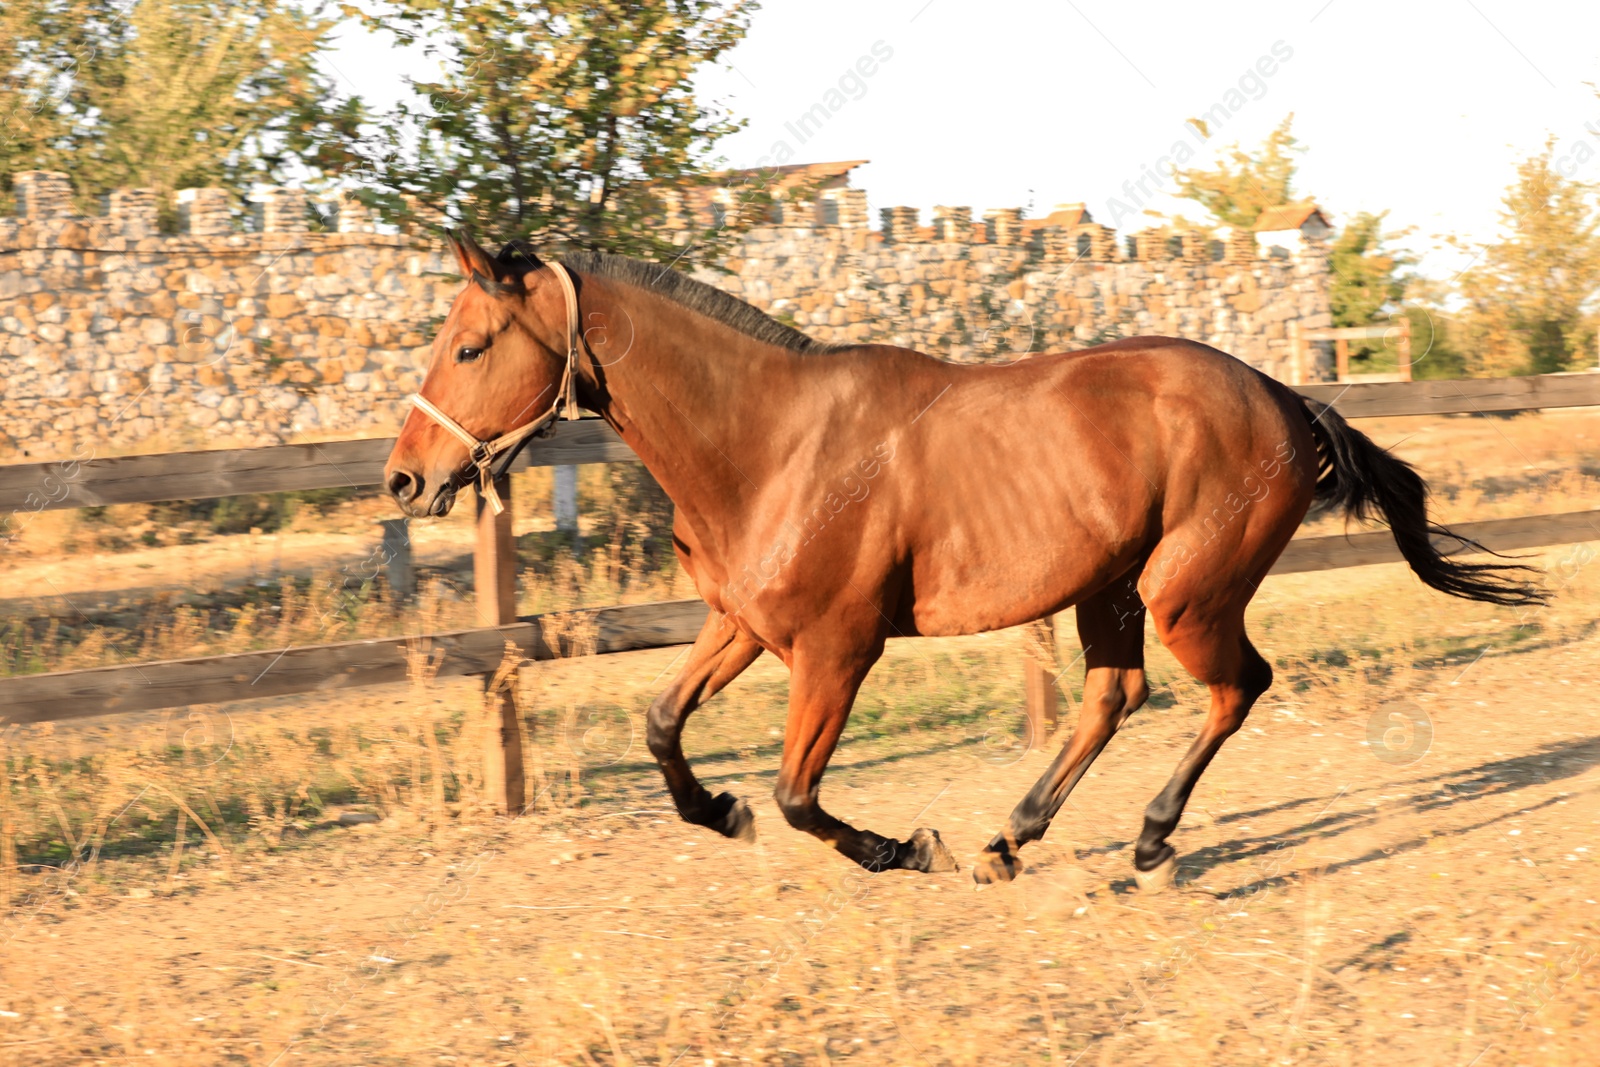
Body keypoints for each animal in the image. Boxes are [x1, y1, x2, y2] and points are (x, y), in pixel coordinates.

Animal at [384, 235, 1536, 895]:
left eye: (472, 346)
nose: (404, 479)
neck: (771, 443)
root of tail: (1287, 398)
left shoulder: (838, 649)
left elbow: (798, 793)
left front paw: (906, 847)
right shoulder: (744, 624)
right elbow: (664, 727)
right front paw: (721, 810)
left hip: (1184, 592)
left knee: (1232, 686)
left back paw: (1147, 843)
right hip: (1111, 590)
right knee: (1114, 696)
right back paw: (1010, 841)